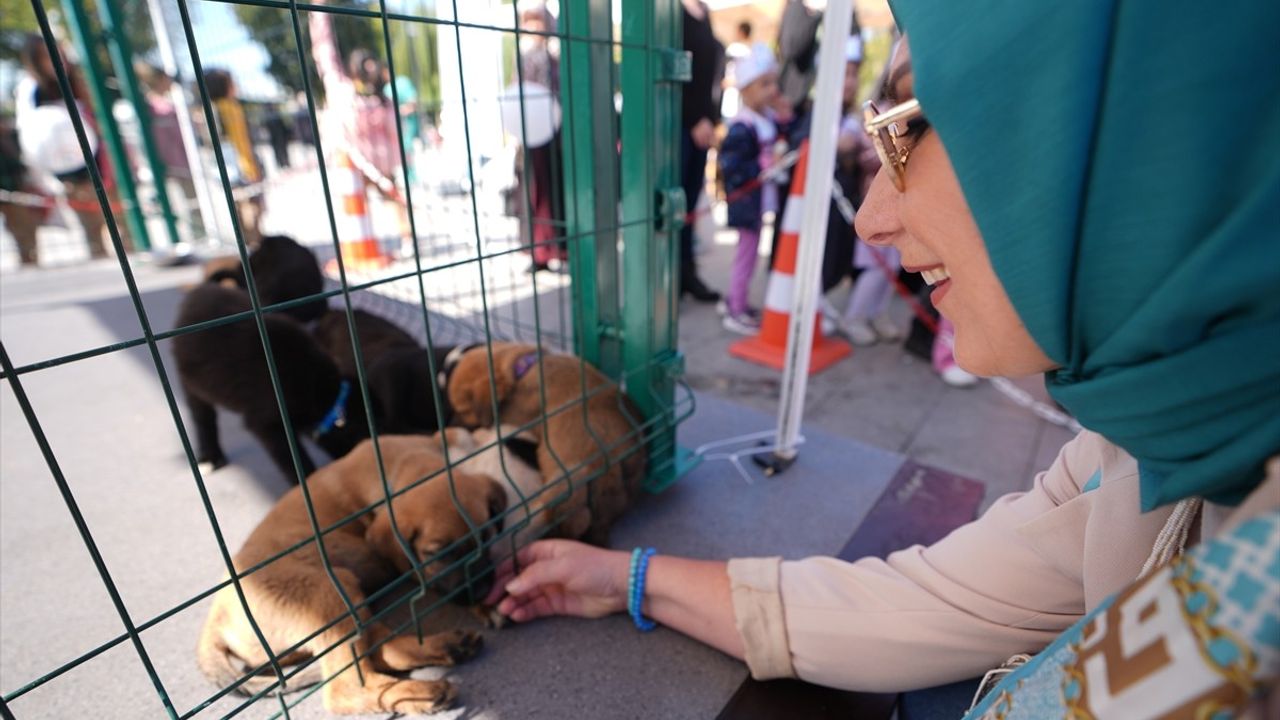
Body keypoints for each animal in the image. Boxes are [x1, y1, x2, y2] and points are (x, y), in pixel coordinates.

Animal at [172, 283, 368, 479]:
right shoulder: (268, 424)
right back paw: (210, 457)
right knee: (203, 419)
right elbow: (295, 462)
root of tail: (200, 289)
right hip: (191, 385)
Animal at [194, 430, 504, 712]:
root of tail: (215, 618)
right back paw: (420, 693)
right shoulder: (407, 563)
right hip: (328, 591)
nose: (482, 592)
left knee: (378, 649)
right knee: (345, 688)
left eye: (486, 537)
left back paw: (448, 647)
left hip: (346, 601)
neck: (398, 463)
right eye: (437, 554)